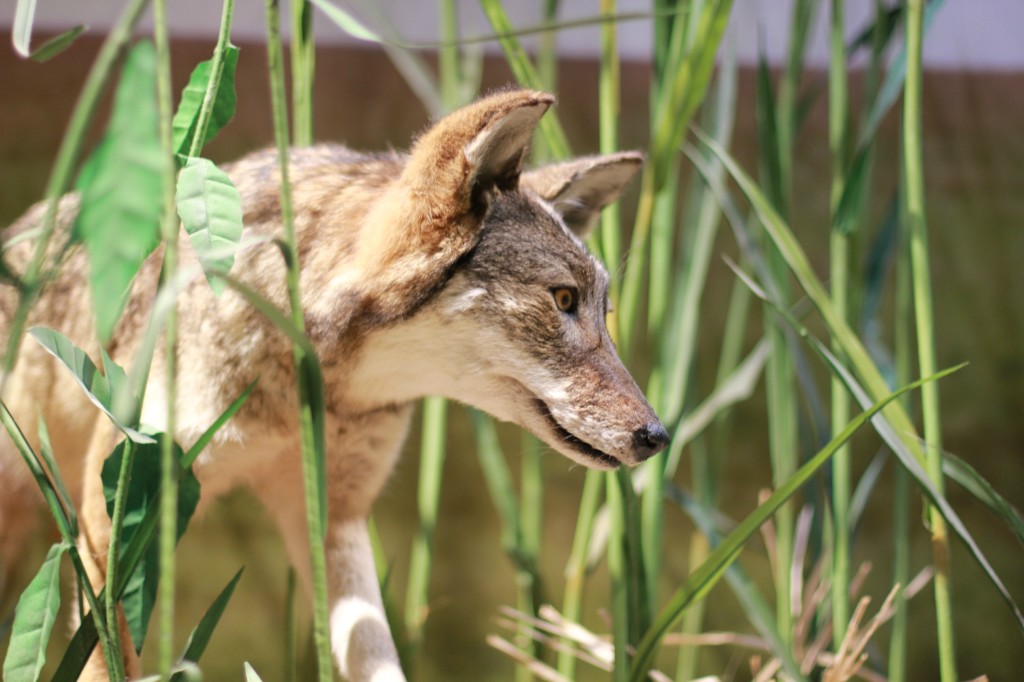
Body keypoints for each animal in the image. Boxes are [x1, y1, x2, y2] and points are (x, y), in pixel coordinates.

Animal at [0, 90, 667, 679]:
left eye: (603, 310)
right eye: (563, 300)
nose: (657, 436)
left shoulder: (334, 518)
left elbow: (379, 658)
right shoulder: (109, 526)